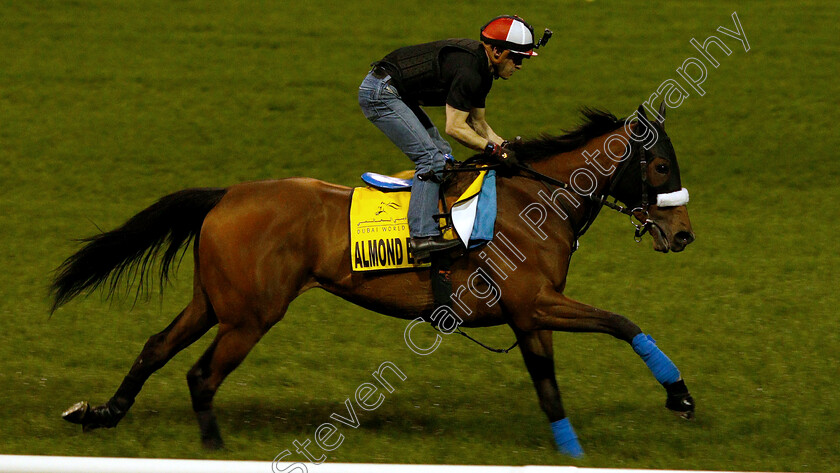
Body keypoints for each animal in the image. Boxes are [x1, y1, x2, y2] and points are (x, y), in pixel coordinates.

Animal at [54, 104, 696, 458]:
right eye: (661, 165)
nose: (684, 234)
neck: (534, 201)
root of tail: (228, 195)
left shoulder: (528, 314)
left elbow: (548, 386)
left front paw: (572, 451)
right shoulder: (537, 302)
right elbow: (623, 322)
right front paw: (680, 395)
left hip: (213, 302)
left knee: (155, 347)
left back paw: (101, 413)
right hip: (250, 315)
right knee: (200, 374)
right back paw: (213, 447)